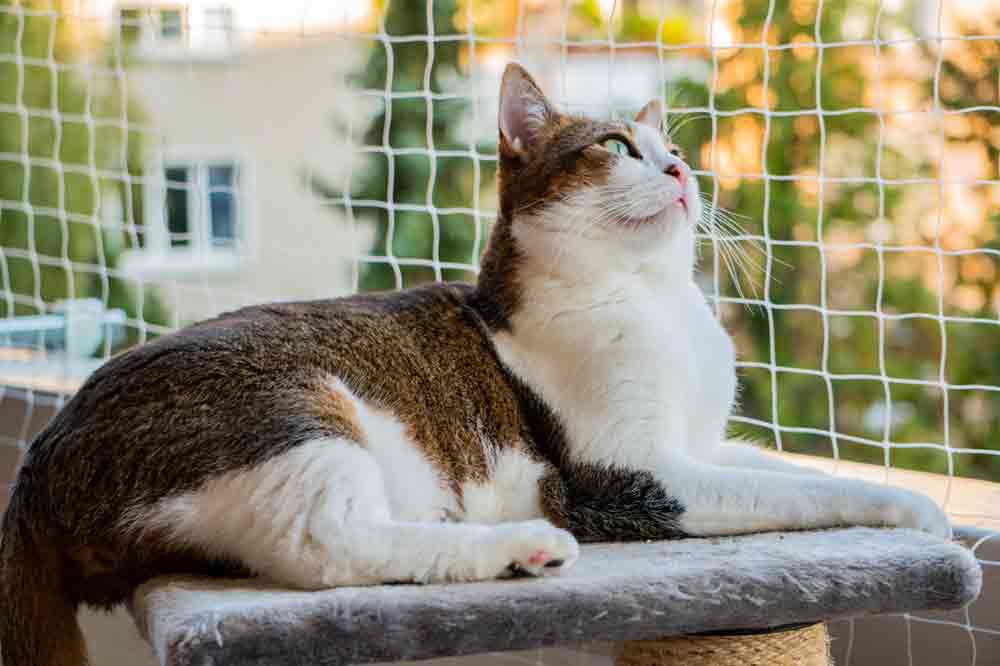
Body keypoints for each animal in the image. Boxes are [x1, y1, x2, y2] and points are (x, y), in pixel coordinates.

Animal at [0, 63, 952, 664]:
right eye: (616, 147)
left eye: (673, 151)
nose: (683, 171)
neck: (654, 300)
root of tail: (41, 455)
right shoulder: (630, 478)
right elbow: (793, 494)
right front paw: (915, 516)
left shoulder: (699, 445)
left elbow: (794, 469)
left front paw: (899, 497)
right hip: (295, 408)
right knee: (325, 550)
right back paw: (522, 547)